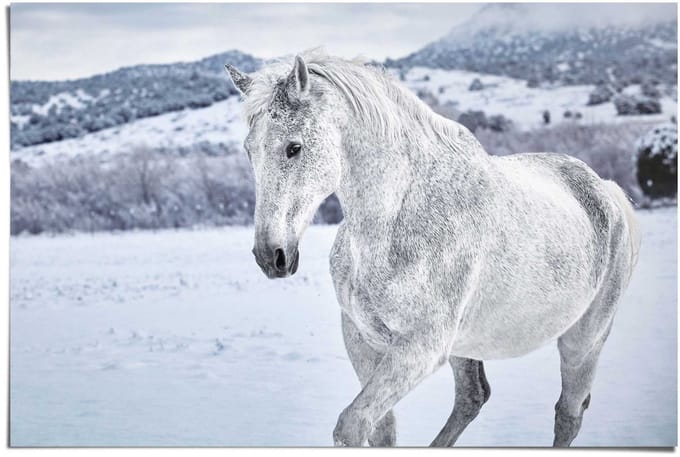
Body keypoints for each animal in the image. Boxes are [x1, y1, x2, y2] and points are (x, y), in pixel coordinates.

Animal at [224, 50, 641, 447]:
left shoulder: (419, 348)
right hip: (466, 345)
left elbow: (351, 425)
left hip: (583, 341)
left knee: (568, 412)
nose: (271, 256)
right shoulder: (363, 339)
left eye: (294, 148)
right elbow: (380, 430)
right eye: (249, 150)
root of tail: (606, 190)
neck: (396, 219)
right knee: (473, 397)